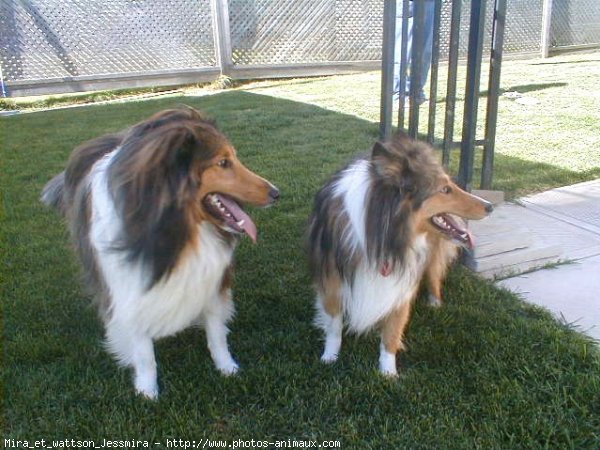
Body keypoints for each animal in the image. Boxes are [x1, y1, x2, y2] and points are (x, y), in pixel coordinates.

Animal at [41, 107, 280, 400]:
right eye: (223, 162)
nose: (276, 193)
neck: (180, 233)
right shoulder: (130, 291)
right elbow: (144, 353)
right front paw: (147, 391)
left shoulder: (213, 281)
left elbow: (217, 334)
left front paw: (228, 368)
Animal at [308, 133, 494, 376]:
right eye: (444, 189)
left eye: (449, 185)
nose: (490, 206)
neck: (383, 236)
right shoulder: (332, 282)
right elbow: (334, 326)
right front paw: (329, 357)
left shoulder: (401, 284)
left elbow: (391, 333)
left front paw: (388, 373)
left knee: (434, 274)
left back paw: (435, 302)